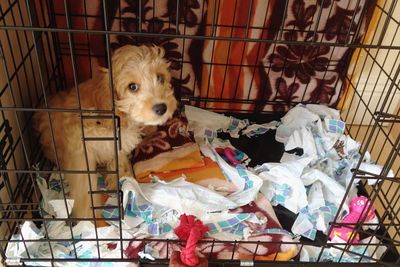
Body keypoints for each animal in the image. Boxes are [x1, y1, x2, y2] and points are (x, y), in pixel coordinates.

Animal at [33, 45, 177, 219]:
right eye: (132, 87)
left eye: (160, 78)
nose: (162, 108)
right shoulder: (80, 152)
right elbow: (83, 185)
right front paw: (86, 215)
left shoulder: (118, 146)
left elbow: (120, 163)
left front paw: (125, 182)